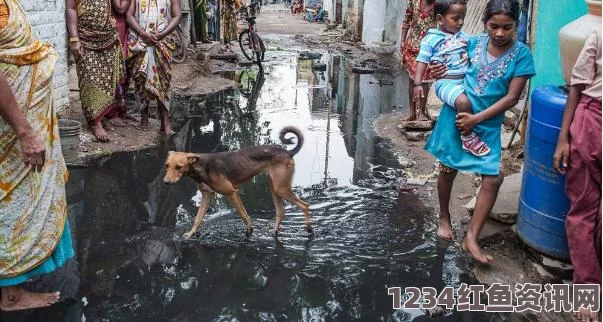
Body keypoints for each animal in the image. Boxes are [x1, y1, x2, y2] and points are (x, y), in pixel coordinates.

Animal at [163, 127, 314, 238]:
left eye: (179, 167)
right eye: (166, 165)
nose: (165, 182)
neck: (201, 167)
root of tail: (288, 152)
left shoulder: (231, 193)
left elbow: (244, 215)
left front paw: (249, 230)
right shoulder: (207, 196)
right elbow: (198, 218)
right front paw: (191, 233)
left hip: (280, 188)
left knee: (305, 205)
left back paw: (309, 229)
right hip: (274, 187)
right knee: (281, 212)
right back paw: (275, 232)